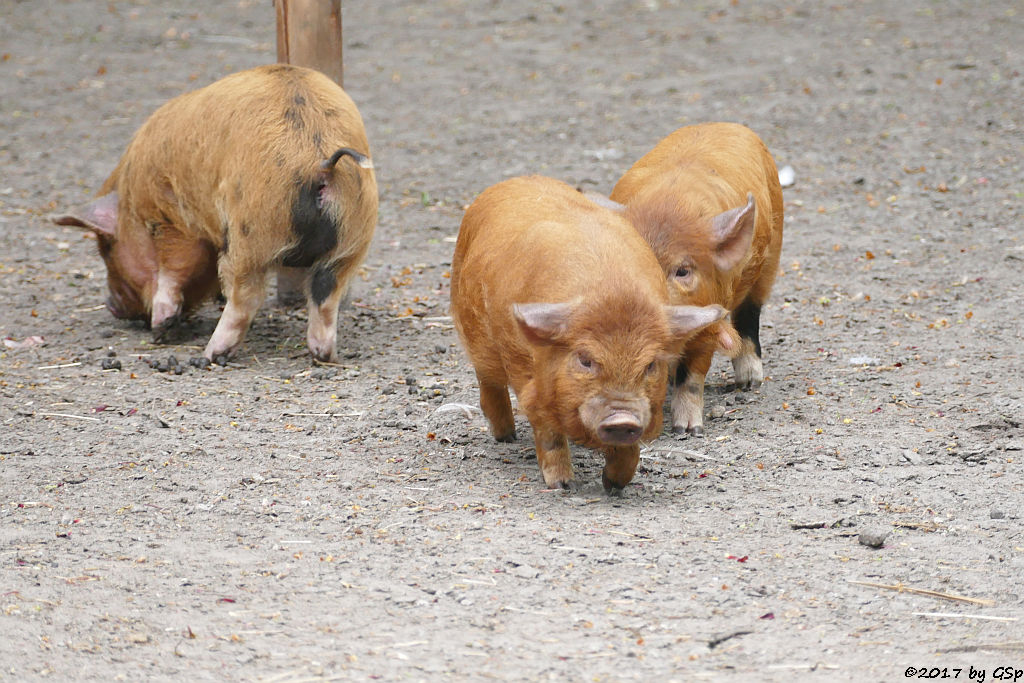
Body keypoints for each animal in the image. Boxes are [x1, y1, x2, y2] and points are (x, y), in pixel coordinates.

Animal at [52, 63, 380, 362]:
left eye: (106, 248)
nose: (111, 305)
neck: (131, 198)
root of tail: (320, 161)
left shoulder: (171, 217)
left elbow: (173, 271)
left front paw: (162, 329)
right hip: (352, 241)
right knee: (326, 295)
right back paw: (324, 355)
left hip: (249, 235)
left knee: (246, 297)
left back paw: (211, 354)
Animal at [450, 174, 729, 489]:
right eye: (585, 360)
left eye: (650, 365)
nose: (622, 418)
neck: (612, 293)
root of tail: (513, 181)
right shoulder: (525, 373)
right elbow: (547, 432)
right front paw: (562, 485)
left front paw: (614, 486)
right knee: (488, 381)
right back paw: (505, 436)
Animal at [598, 123, 782, 438]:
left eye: (683, 271)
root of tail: (725, 124)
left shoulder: (710, 316)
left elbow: (693, 375)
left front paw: (688, 430)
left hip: (771, 256)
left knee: (749, 316)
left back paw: (748, 382)